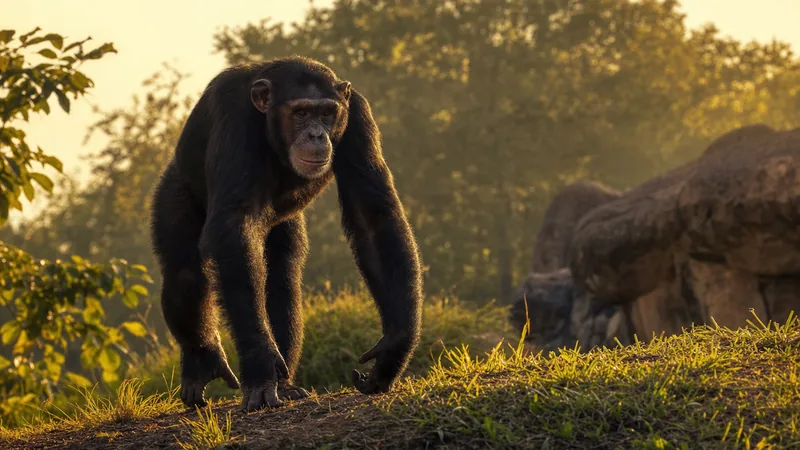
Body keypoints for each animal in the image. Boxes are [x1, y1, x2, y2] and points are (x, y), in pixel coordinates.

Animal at [150, 56, 423, 412]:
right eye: (301, 112)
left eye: (327, 113)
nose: (317, 134)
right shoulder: (233, 115)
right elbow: (234, 226)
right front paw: (260, 362)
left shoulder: (359, 117)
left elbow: (373, 218)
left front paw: (394, 348)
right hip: (176, 186)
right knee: (183, 271)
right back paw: (202, 364)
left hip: (283, 224)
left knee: (282, 277)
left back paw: (285, 384)